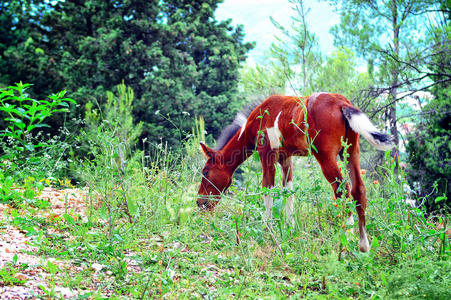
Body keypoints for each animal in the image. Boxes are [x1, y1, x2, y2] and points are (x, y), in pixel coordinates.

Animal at [196, 93, 394, 251]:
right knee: (359, 190)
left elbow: (267, 188)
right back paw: (363, 245)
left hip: (326, 157)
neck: (258, 117)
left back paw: (347, 240)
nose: (199, 202)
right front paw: (290, 229)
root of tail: (341, 103)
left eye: (206, 172)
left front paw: (266, 228)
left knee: (342, 190)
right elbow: (288, 191)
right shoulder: (286, 158)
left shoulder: (266, 153)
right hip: (351, 152)